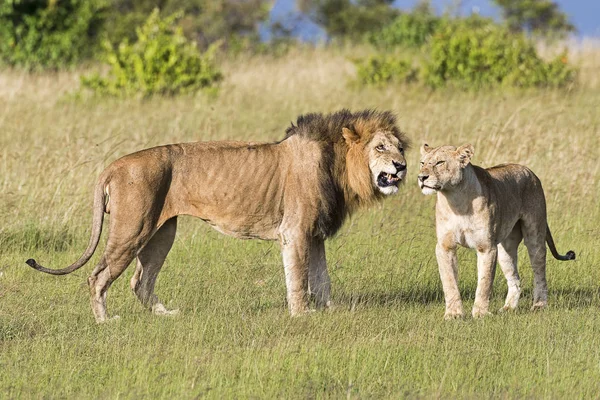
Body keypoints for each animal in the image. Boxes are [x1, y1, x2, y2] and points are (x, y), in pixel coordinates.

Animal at [25, 109, 410, 322]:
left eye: (400, 147)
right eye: (380, 147)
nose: (402, 166)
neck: (337, 165)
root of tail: (114, 165)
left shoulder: (314, 234)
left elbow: (322, 277)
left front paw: (330, 311)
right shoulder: (296, 231)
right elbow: (299, 278)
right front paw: (302, 315)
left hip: (161, 232)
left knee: (141, 280)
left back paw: (165, 315)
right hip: (131, 229)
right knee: (98, 276)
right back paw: (106, 322)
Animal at [420, 144, 576, 318]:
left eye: (440, 162)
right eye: (422, 163)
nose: (421, 177)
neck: (456, 200)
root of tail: (529, 171)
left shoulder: (486, 247)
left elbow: (485, 282)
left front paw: (480, 313)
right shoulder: (445, 246)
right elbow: (449, 282)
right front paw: (454, 314)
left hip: (534, 235)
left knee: (539, 272)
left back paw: (539, 305)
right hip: (504, 249)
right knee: (515, 280)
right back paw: (508, 308)